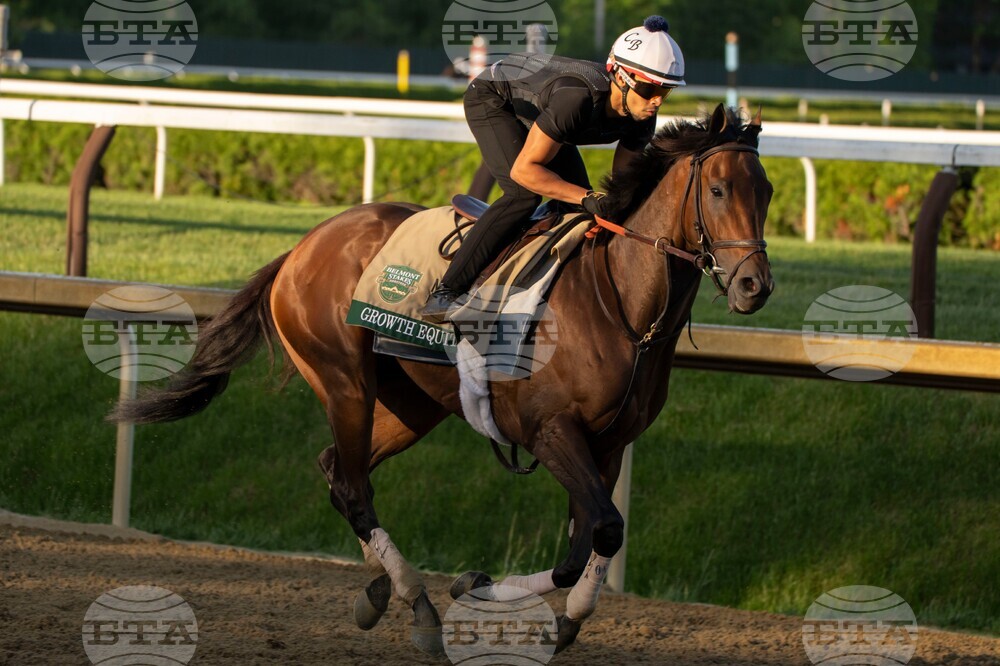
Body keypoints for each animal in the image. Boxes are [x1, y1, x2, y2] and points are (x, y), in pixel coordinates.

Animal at [112, 103, 774, 657]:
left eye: (765, 191)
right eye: (718, 189)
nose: (754, 286)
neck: (620, 305)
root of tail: (302, 246)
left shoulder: (608, 445)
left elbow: (590, 540)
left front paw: (549, 615)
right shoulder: (550, 432)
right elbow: (600, 532)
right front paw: (476, 587)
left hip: (412, 406)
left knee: (338, 470)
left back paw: (380, 590)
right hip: (345, 381)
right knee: (352, 484)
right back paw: (419, 605)